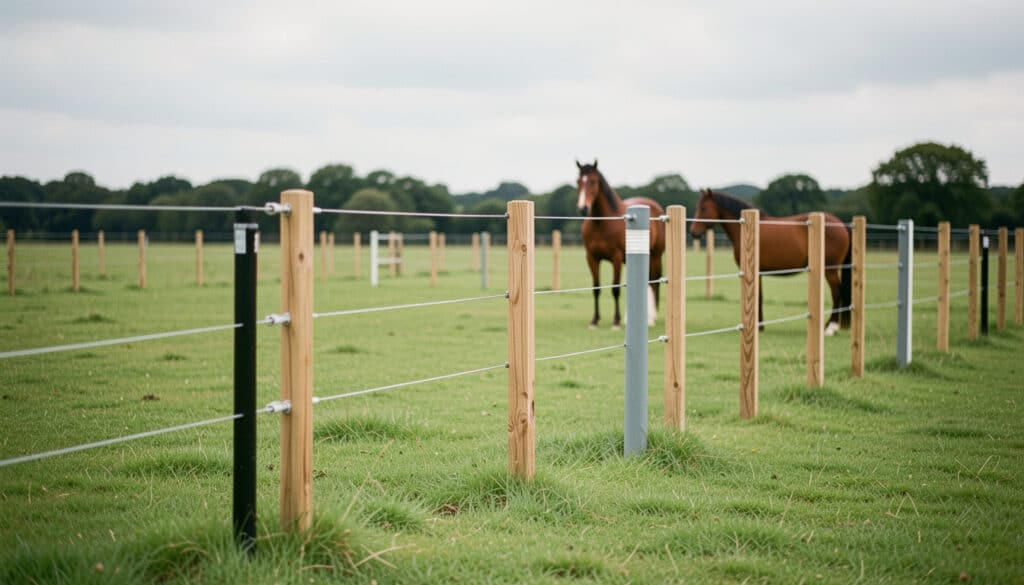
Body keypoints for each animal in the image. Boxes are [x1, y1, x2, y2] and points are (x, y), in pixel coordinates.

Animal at [576, 160, 666, 329]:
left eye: (593, 181)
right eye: (578, 181)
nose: (583, 208)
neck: (601, 222)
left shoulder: (615, 258)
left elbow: (615, 288)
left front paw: (616, 321)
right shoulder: (591, 258)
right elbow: (596, 288)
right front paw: (595, 320)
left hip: (655, 256)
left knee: (653, 283)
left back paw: (651, 318)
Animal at [689, 189, 852, 335]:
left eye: (703, 208)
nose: (693, 232)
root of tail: (841, 225)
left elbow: (757, 297)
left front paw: (758, 326)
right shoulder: (759, 272)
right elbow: (759, 296)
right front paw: (760, 325)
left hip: (830, 270)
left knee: (836, 293)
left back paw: (830, 328)